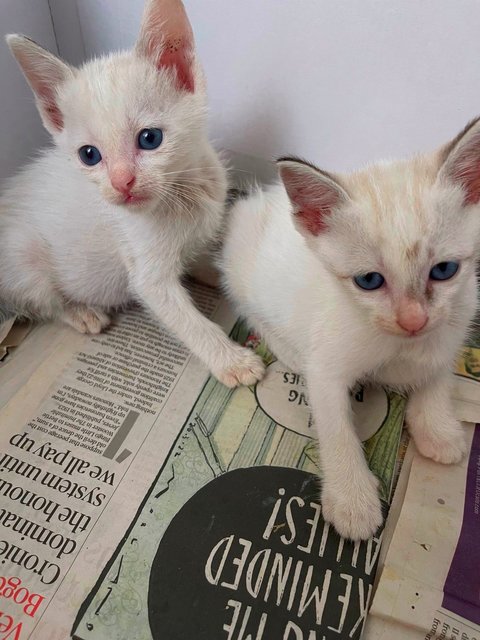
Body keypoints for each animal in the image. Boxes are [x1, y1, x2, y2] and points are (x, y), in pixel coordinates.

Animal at [0, 0, 262, 388]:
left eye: (150, 138)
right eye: (89, 155)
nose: (121, 182)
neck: (182, 194)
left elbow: (200, 257)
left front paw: (218, 272)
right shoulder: (148, 276)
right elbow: (186, 320)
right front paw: (231, 360)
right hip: (22, 261)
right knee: (40, 302)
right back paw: (80, 311)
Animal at [220, 120, 480, 540]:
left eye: (444, 270)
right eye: (369, 281)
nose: (413, 321)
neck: (397, 346)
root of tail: (257, 200)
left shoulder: (456, 317)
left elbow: (438, 369)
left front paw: (438, 428)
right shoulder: (325, 367)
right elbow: (335, 426)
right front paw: (352, 500)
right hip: (239, 274)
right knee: (252, 311)